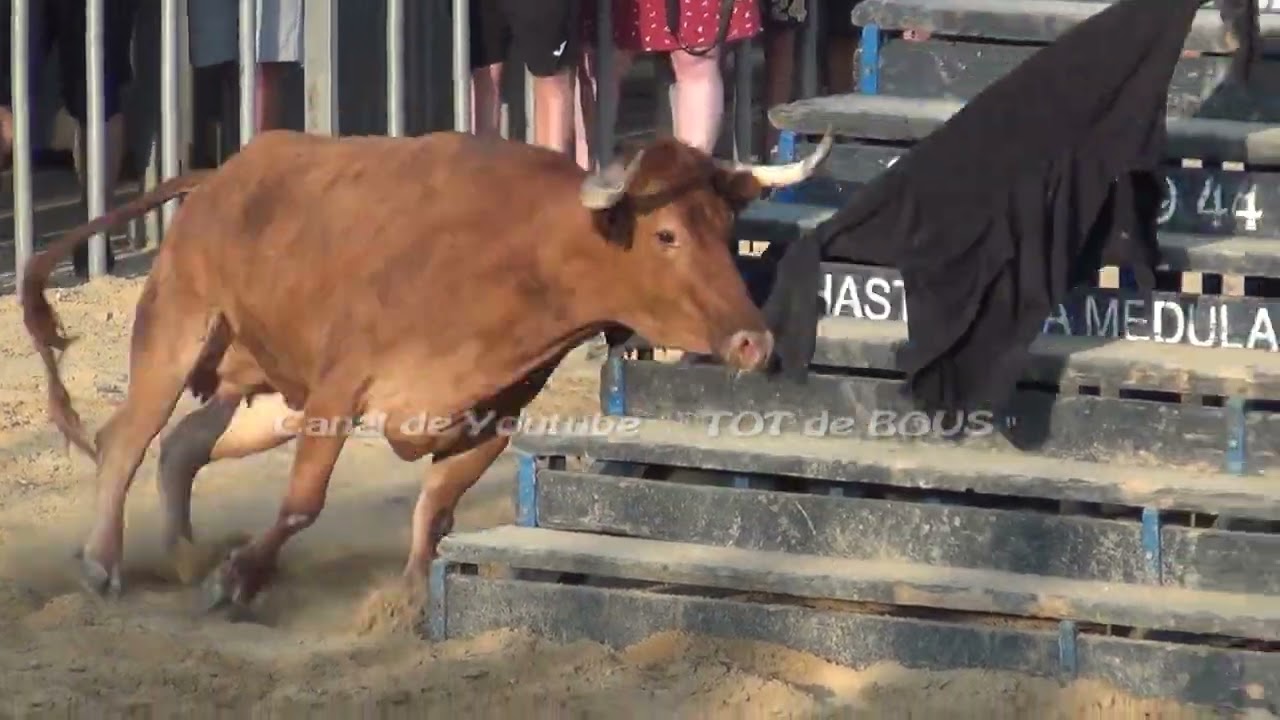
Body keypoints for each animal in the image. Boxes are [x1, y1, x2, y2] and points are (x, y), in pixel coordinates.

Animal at [22, 127, 832, 613]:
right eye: (666, 234)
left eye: (726, 228)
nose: (754, 341)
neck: (510, 255)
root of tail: (222, 176)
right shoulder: (341, 388)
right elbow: (302, 503)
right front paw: (242, 576)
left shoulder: (491, 417)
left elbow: (436, 509)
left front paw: (411, 597)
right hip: (180, 329)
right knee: (128, 439)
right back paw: (104, 563)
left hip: (270, 396)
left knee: (183, 445)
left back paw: (185, 554)